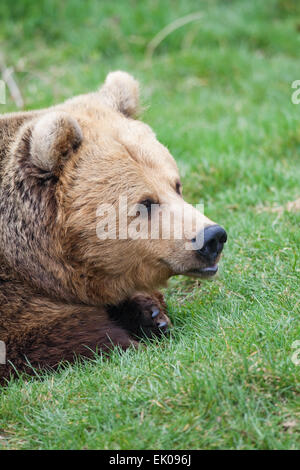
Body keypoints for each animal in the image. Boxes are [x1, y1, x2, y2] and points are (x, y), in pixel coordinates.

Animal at [0, 71, 226, 384]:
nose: (212, 237)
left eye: (176, 185)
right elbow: (46, 332)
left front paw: (151, 314)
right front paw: (128, 340)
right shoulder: (12, 302)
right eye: (145, 203)